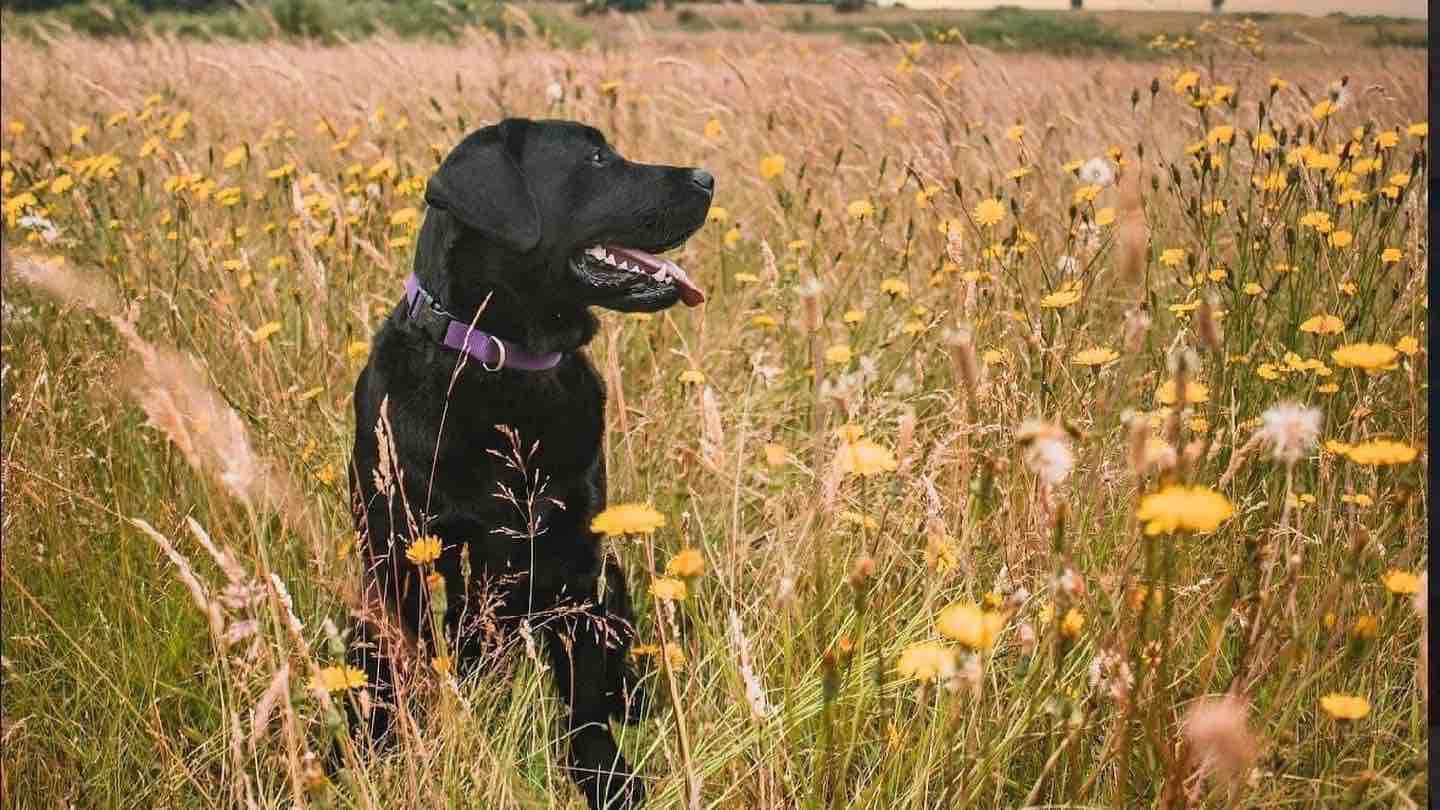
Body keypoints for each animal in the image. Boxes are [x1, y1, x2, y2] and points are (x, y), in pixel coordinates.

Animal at [345, 116, 711, 801]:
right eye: (596, 159)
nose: (707, 176)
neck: (500, 362)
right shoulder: (402, 554)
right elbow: (392, 671)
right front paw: (370, 752)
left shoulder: (574, 560)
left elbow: (585, 699)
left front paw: (605, 777)